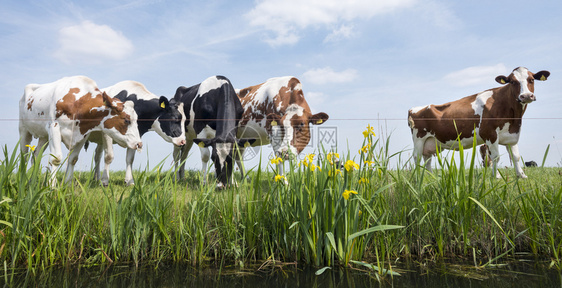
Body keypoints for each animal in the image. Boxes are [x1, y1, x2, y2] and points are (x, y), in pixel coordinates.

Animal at [197, 76, 328, 180]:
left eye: (301, 124)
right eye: (281, 125)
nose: (285, 152)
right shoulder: (273, 131)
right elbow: (278, 156)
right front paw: (283, 182)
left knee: (238, 156)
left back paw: (245, 178)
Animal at [406, 67, 548, 179]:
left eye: (531, 79)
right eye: (513, 81)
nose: (526, 96)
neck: (514, 118)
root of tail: (414, 108)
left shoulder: (511, 135)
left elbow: (516, 156)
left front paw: (521, 175)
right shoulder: (490, 134)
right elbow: (495, 157)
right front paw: (496, 176)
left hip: (430, 142)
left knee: (427, 159)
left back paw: (430, 177)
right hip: (419, 139)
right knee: (417, 157)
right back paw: (418, 177)